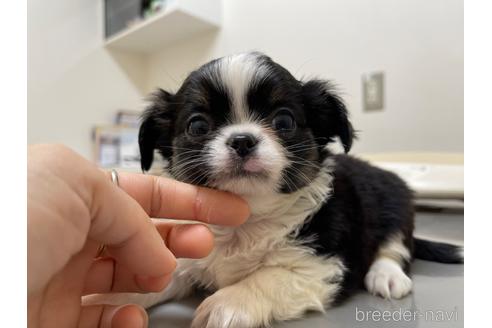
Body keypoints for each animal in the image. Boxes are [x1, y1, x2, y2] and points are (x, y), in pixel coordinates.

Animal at [87, 52, 462, 326]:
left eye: (283, 121)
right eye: (197, 125)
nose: (242, 140)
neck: (247, 216)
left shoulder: (320, 268)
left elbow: (270, 278)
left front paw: (227, 304)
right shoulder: (190, 258)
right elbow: (156, 278)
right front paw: (108, 297)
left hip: (395, 202)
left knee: (395, 247)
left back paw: (386, 276)